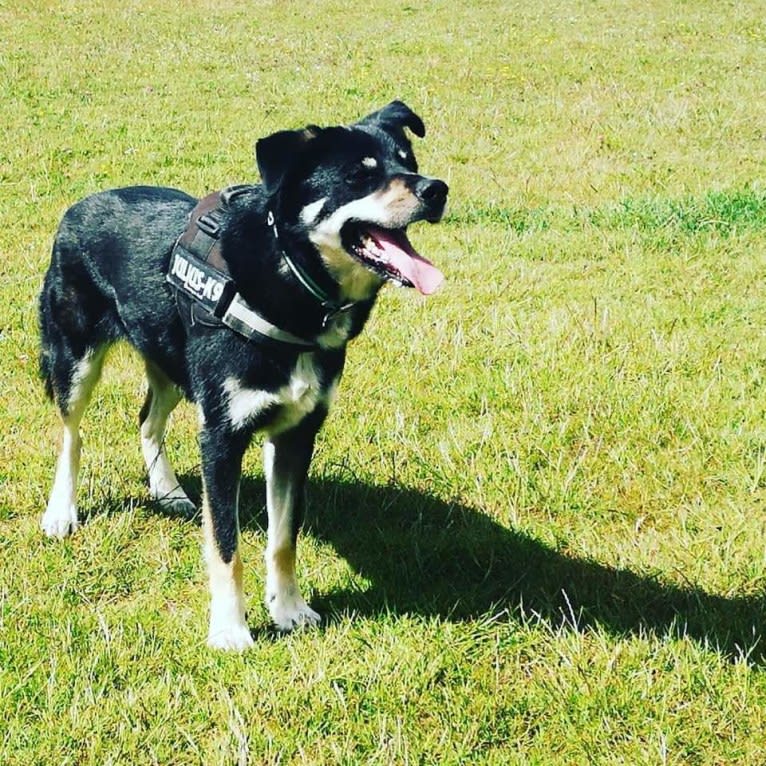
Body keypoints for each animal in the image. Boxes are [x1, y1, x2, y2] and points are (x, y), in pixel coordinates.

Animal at [37, 102, 450, 652]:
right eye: (358, 175)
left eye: (408, 161)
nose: (436, 189)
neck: (291, 276)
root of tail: (78, 206)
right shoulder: (221, 436)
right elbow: (225, 544)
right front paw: (230, 630)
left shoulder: (297, 432)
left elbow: (283, 537)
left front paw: (289, 609)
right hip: (76, 356)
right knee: (71, 435)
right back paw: (62, 511)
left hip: (170, 359)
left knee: (148, 419)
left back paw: (167, 491)